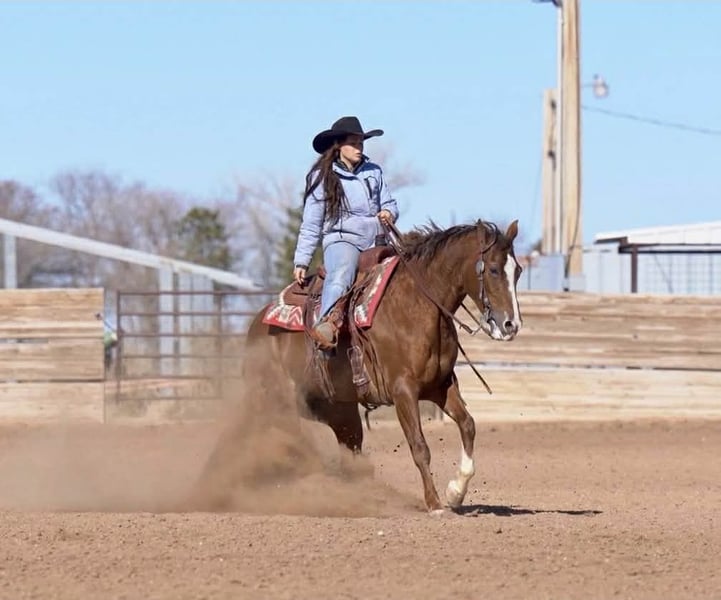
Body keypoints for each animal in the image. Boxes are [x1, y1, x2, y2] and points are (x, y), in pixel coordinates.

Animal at [243, 219, 522, 512]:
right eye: (493, 269)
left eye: (518, 271)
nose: (511, 325)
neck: (419, 305)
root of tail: (257, 325)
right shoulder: (403, 391)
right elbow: (419, 447)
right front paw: (434, 503)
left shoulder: (441, 386)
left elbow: (468, 425)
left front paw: (455, 492)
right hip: (281, 404)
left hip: (339, 412)